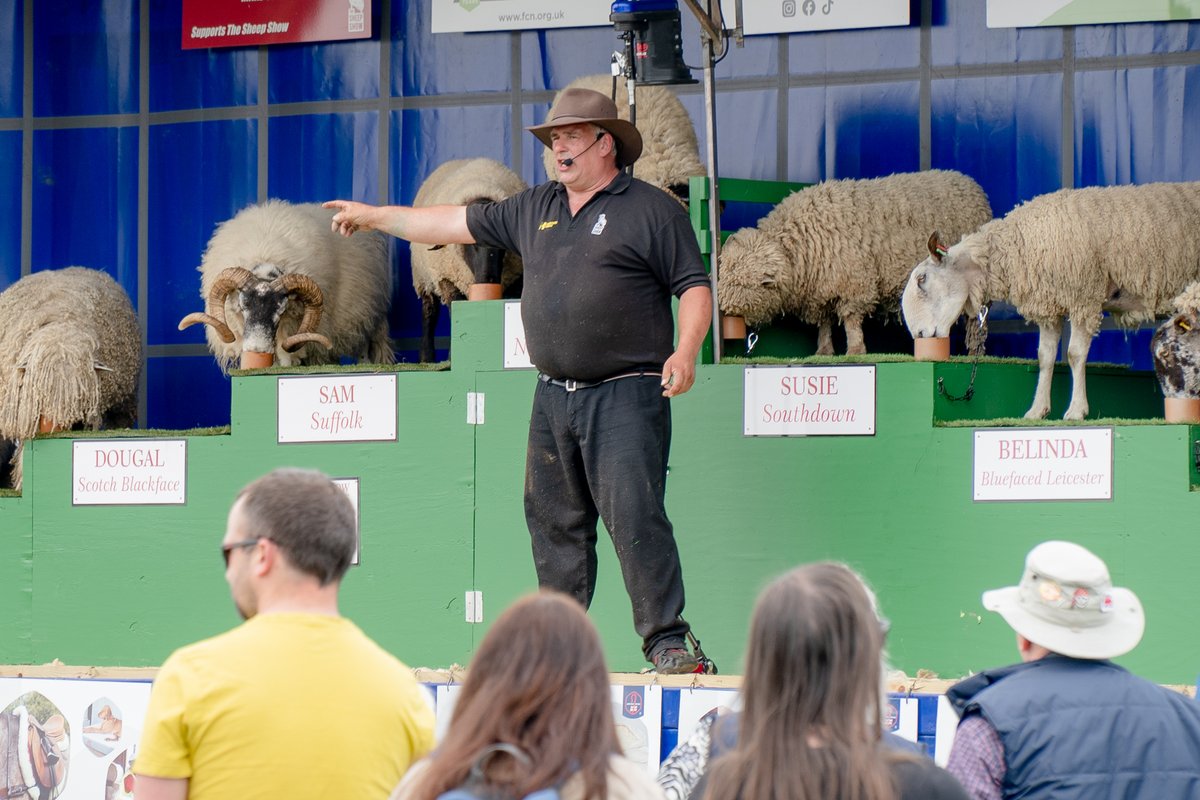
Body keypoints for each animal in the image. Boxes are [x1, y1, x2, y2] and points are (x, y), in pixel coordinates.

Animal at [177, 200, 393, 376]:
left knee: (364, 353)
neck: (265, 254)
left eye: (281, 310)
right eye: (243, 306)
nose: (257, 349)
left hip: (365, 321)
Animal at [715, 170, 988, 355]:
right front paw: (824, 351)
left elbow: (851, 319)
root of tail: (970, 183)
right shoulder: (821, 289)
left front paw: (855, 349)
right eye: (724, 276)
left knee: (977, 322)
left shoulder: (854, 282)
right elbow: (824, 322)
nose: (724, 311)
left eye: (745, 285)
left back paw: (975, 352)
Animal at [902, 179, 1200, 419]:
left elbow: (1074, 354)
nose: (919, 335)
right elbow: (1044, 357)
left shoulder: (1082, 297)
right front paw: (1037, 410)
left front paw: (1076, 410)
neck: (1016, 246)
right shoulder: (1049, 305)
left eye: (922, 279)